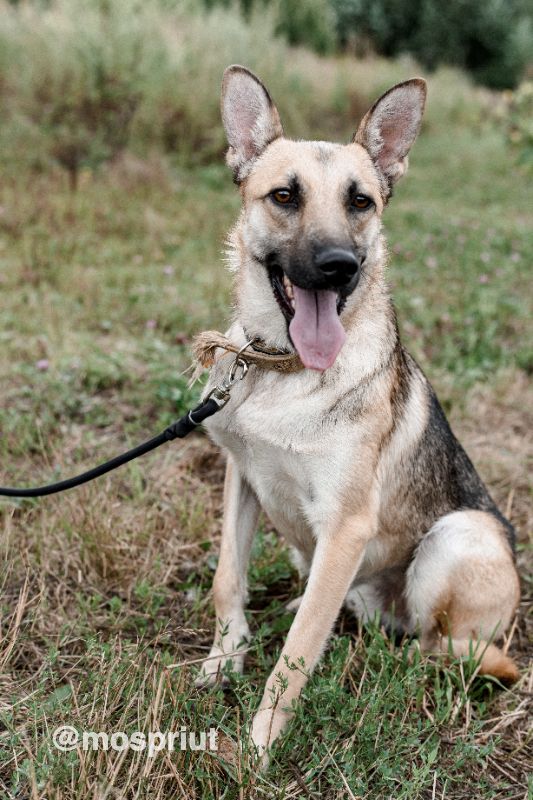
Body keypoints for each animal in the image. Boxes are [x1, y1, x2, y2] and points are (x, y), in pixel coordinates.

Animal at [196, 67, 520, 756]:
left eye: (361, 203)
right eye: (285, 196)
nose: (338, 266)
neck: (282, 368)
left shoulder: (345, 527)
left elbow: (294, 658)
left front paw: (259, 745)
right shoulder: (242, 478)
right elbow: (227, 580)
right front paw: (222, 661)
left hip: (458, 536)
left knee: (443, 648)